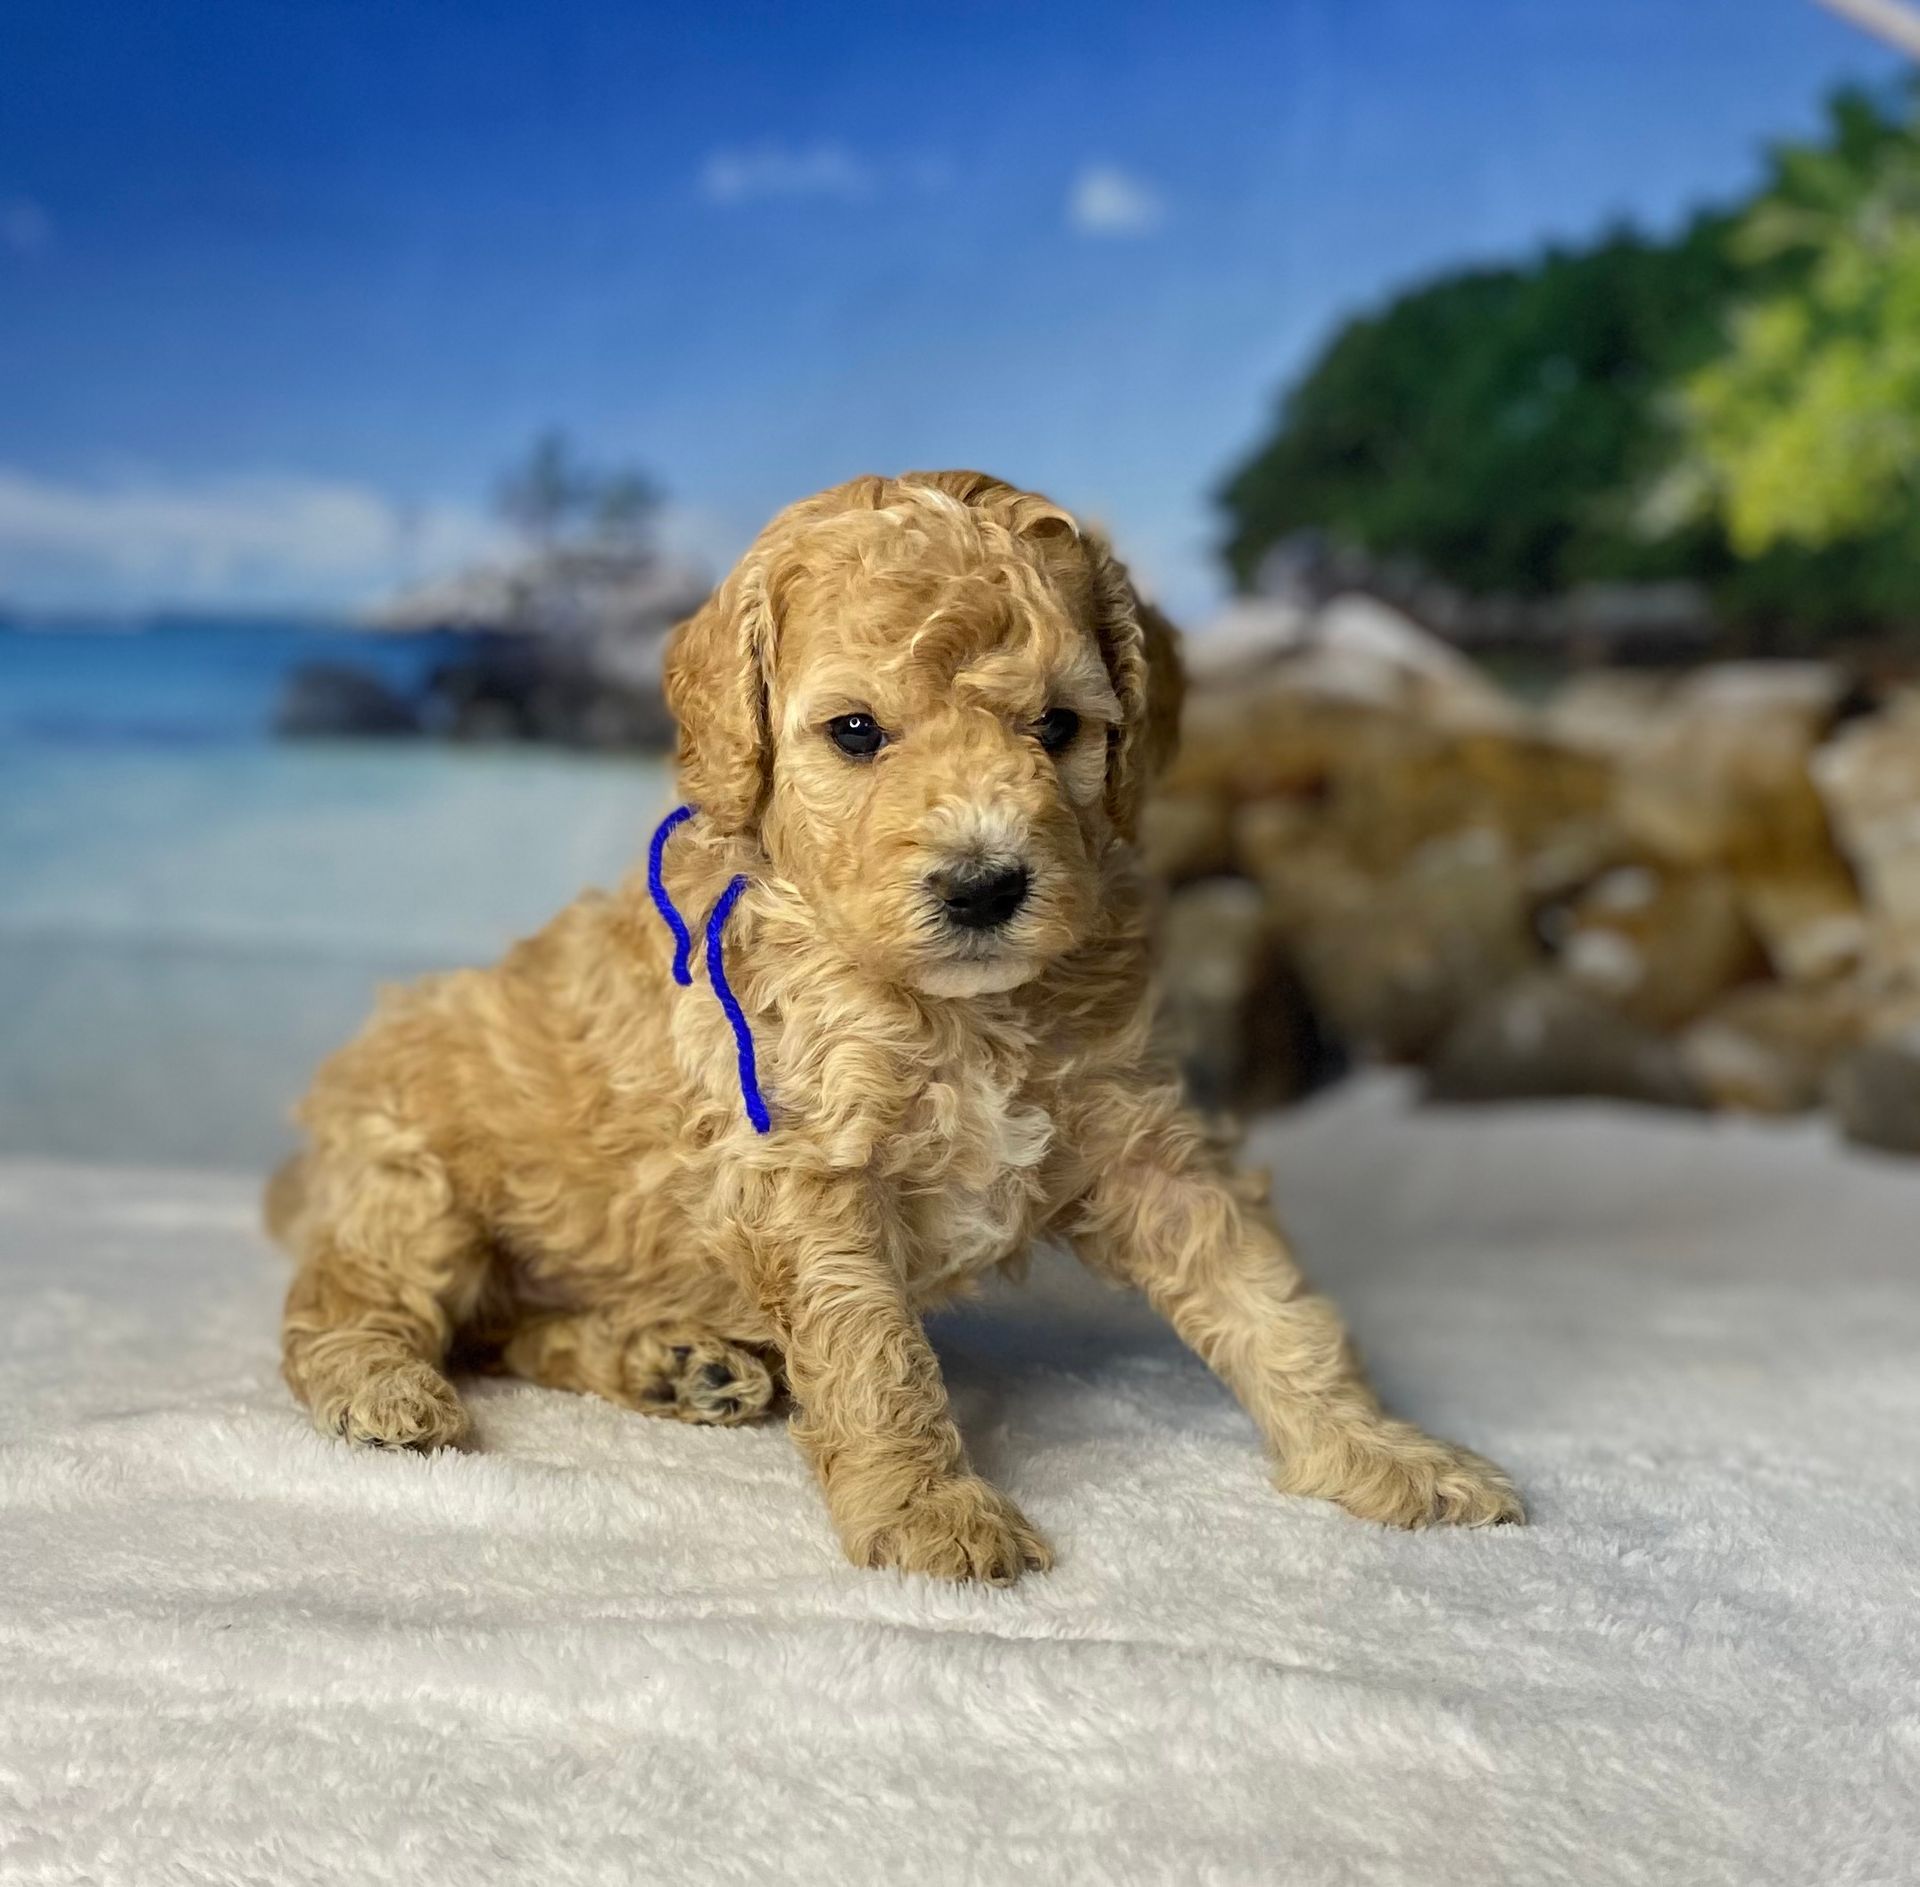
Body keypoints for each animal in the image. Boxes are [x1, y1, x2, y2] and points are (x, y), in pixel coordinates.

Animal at [274, 472, 1528, 1581]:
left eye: (1058, 726)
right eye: (856, 731)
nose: (985, 885)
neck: (959, 1008)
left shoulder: (1145, 1133)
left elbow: (1269, 1297)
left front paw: (1381, 1453)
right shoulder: (807, 1169)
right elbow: (874, 1354)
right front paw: (931, 1515)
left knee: (511, 1331)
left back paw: (675, 1362)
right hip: (412, 1181)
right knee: (347, 1301)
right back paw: (383, 1388)